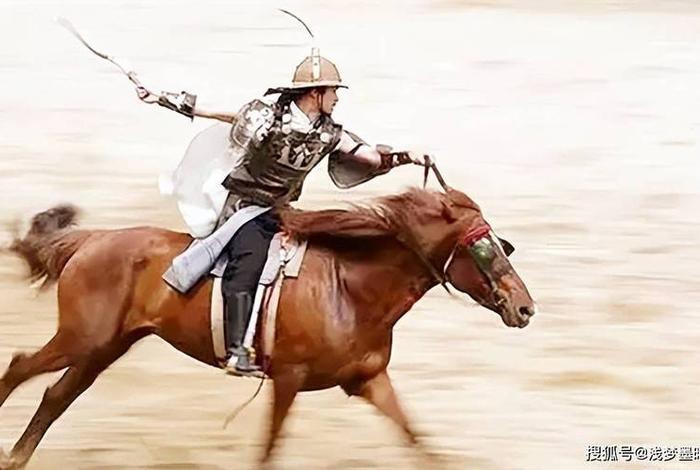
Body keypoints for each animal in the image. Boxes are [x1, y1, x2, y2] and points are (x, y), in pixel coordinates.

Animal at [0, 187, 535, 469]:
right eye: (483, 248)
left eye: (500, 244)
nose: (525, 307)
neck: (349, 288)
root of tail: (88, 240)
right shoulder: (287, 378)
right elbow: (270, 447)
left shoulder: (368, 380)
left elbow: (415, 438)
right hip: (82, 339)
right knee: (21, 367)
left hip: (104, 347)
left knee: (55, 396)